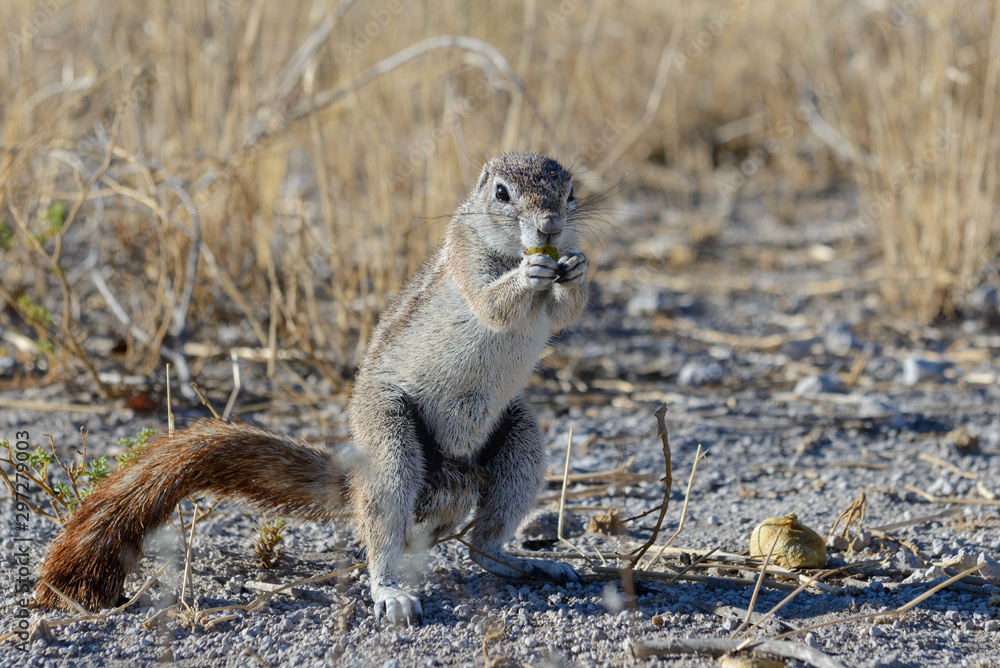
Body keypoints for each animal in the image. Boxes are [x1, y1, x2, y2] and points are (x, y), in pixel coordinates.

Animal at [34, 152, 589, 627]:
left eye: (570, 191)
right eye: (502, 193)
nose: (550, 227)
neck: (508, 249)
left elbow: (566, 314)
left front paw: (576, 269)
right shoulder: (464, 256)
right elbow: (491, 303)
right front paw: (531, 272)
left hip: (520, 440)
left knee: (485, 547)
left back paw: (533, 565)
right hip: (389, 436)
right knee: (384, 529)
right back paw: (390, 591)